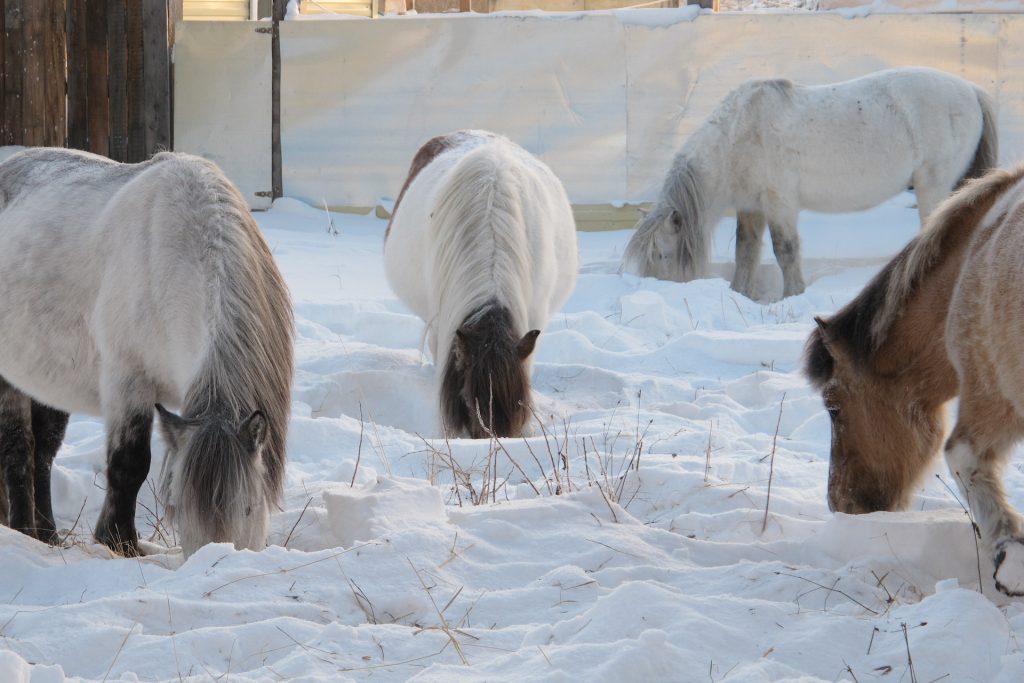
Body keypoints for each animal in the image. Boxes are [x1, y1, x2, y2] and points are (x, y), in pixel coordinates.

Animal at [0, 148, 294, 557]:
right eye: (179, 507)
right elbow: (130, 464)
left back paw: (48, 537)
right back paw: (24, 533)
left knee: (43, 450)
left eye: (249, 508)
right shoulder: (128, 383)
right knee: (17, 448)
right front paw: (120, 542)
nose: (213, 559)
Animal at [618, 68, 995, 301]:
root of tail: (971, 90)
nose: (658, 292)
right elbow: (746, 251)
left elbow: (785, 250)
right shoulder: (751, 207)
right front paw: (741, 293)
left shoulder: (779, 203)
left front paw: (792, 294)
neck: (739, 135)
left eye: (663, 254)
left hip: (933, 186)